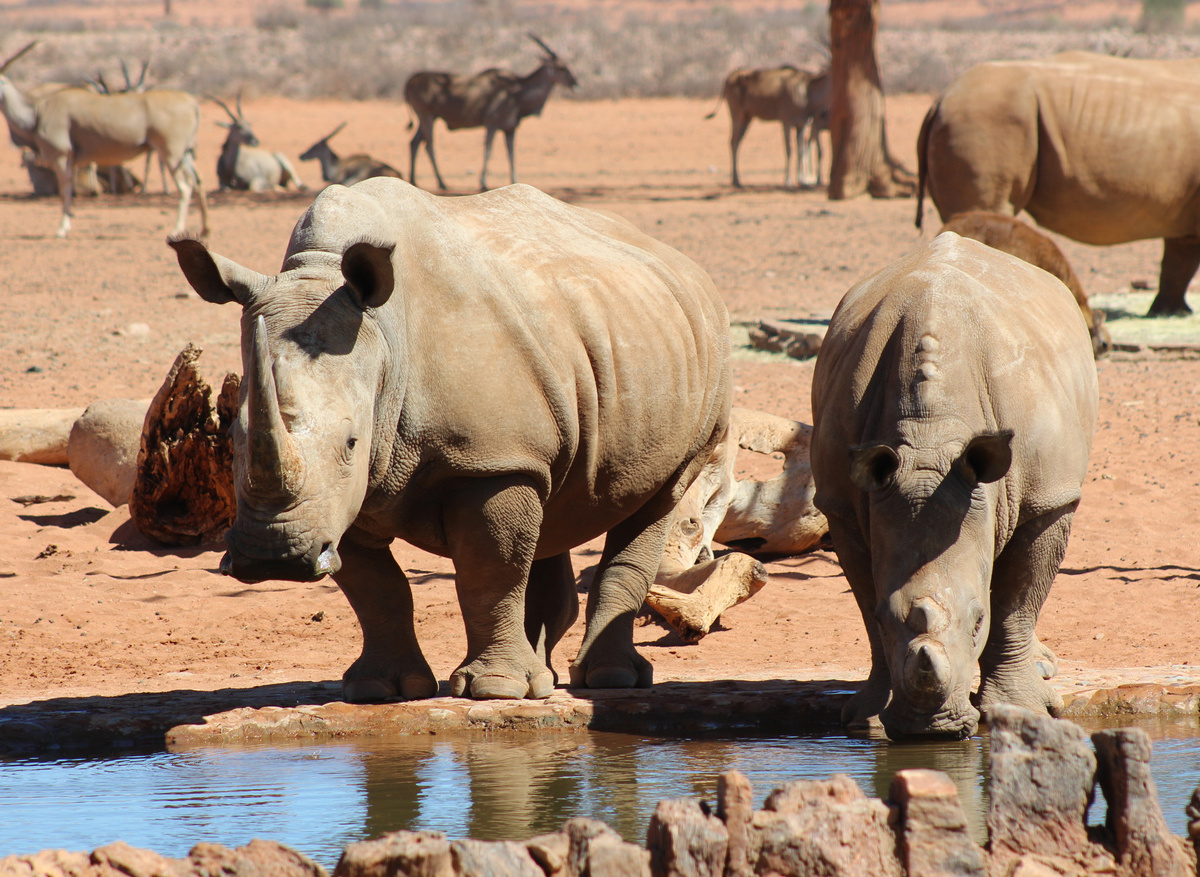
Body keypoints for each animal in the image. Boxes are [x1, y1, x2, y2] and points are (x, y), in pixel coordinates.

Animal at [169, 177, 732, 702]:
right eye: (232, 442)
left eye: (350, 442)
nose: (273, 557)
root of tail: (686, 267)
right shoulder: (348, 495)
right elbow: (376, 588)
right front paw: (380, 690)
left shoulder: (490, 461)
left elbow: (490, 570)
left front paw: (496, 691)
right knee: (553, 502)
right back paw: (545, 680)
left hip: (700, 358)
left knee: (658, 498)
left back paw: (607, 680)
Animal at [810, 233, 1098, 739]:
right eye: (887, 619)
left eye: (977, 620)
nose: (932, 729)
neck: (931, 438)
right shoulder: (842, 503)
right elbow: (866, 603)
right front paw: (868, 719)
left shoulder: (1047, 497)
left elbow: (1017, 602)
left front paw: (1021, 709)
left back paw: (1043, 669)